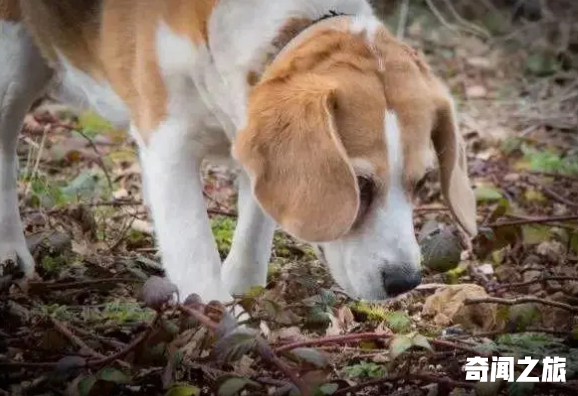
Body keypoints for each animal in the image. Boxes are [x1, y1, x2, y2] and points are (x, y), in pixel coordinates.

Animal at [1, 0, 476, 304]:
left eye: (422, 182)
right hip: (14, 70)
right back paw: (11, 252)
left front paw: (244, 285)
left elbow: (255, 229)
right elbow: (195, 251)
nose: (405, 282)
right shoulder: (169, 145)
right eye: (358, 184)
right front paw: (226, 331)